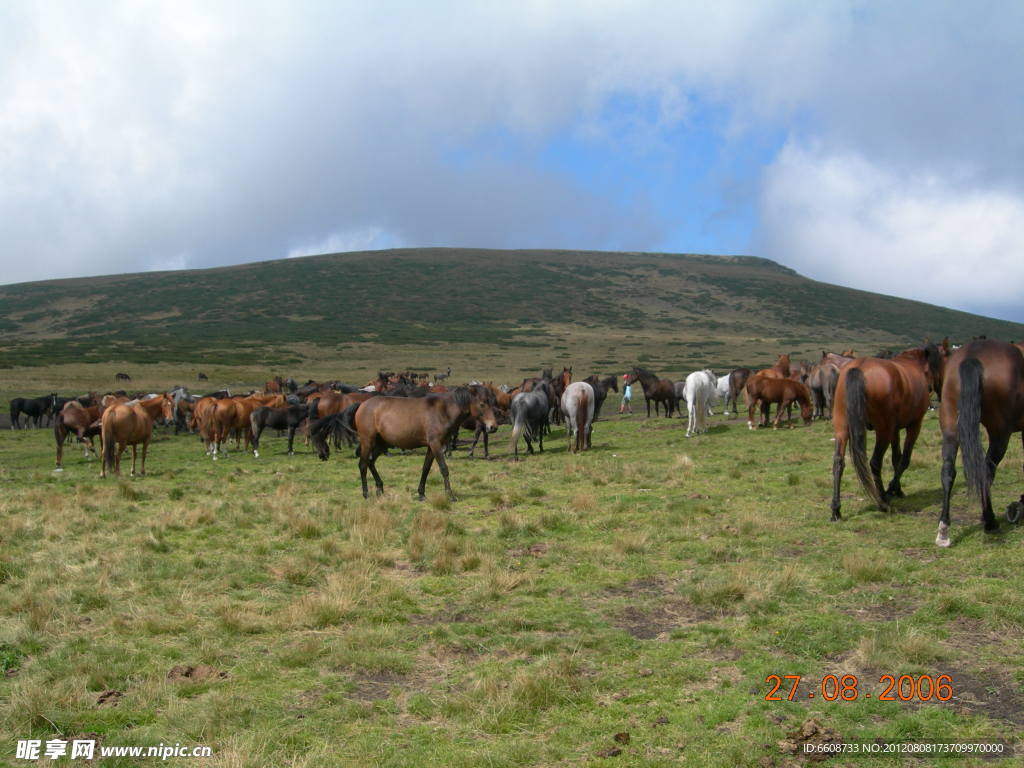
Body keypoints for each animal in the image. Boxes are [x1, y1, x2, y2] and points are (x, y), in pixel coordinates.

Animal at [937, 342, 1024, 548]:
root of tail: (973, 356)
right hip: (1000, 434)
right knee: (986, 472)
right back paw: (989, 521)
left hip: (950, 425)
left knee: (948, 471)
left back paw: (944, 529)